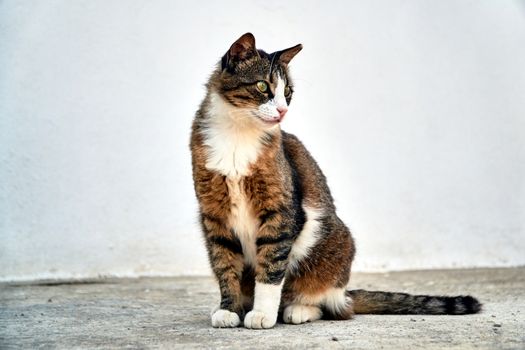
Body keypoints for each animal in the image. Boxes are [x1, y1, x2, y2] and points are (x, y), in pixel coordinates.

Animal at [188, 32, 478, 328]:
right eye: (262, 86)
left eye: (288, 92)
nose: (282, 111)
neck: (236, 136)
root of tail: (345, 292)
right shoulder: (215, 216)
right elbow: (225, 267)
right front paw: (229, 309)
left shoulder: (282, 213)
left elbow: (271, 267)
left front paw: (262, 314)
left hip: (334, 242)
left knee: (332, 306)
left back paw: (297, 310)